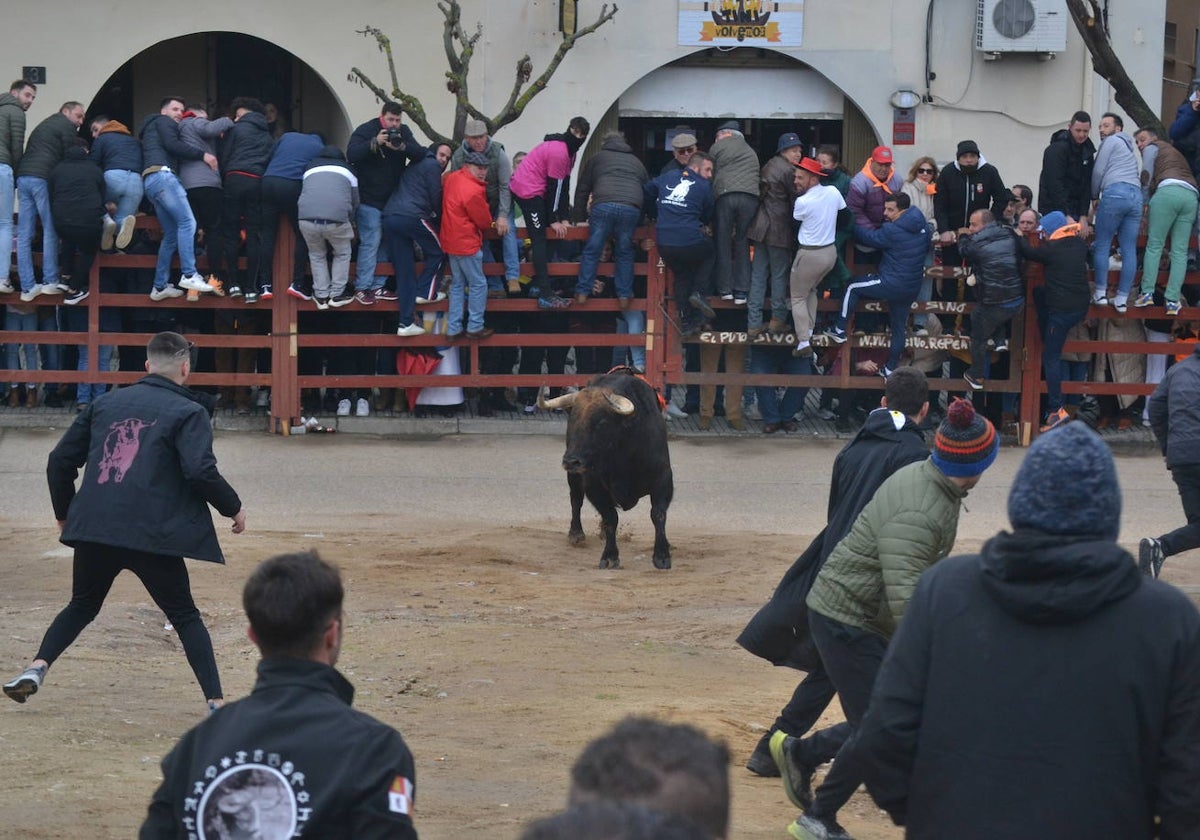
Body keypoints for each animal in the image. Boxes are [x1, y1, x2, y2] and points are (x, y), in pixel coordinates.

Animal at [542, 369, 676, 568]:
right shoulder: (594, 485)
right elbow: (610, 517)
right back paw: (576, 533)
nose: (571, 461)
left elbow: (658, 514)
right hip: (574, 477)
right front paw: (610, 556)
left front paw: (662, 555)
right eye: (572, 419)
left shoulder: (663, 478)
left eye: (601, 422)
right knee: (576, 499)